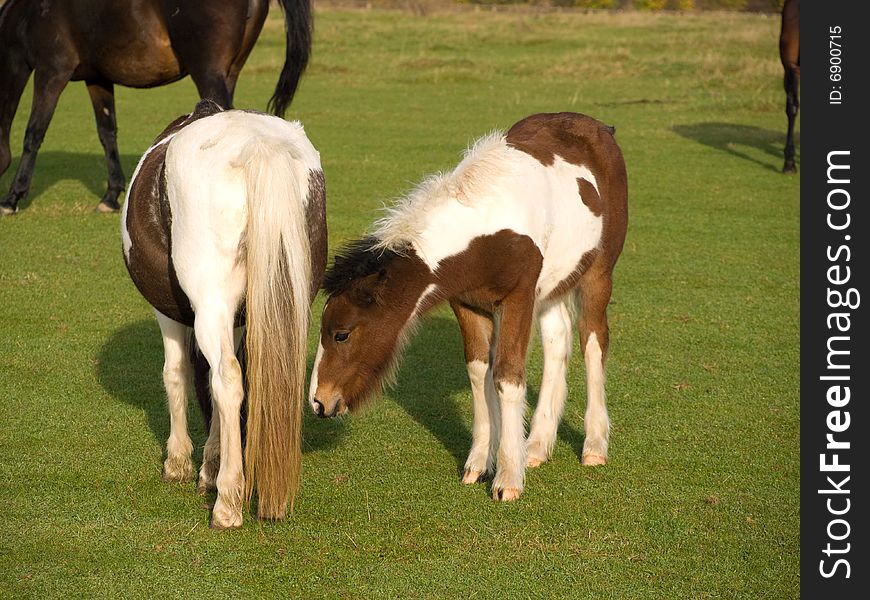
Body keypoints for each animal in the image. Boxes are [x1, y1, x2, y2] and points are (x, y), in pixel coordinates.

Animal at [0, 0, 314, 214]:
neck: (27, 14)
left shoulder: (51, 72)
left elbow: (34, 132)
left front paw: (13, 198)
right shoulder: (97, 79)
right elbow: (107, 133)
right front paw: (111, 195)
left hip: (208, 73)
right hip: (230, 72)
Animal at [120, 99, 328, 528]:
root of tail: (260, 147)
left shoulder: (171, 312)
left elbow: (177, 374)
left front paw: (180, 462)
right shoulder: (235, 320)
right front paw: (209, 467)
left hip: (209, 305)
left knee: (228, 379)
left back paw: (229, 502)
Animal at [312, 112, 628, 502]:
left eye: (341, 334)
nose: (319, 402)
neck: (484, 234)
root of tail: (601, 129)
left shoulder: (518, 298)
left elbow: (507, 376)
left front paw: (508, 478)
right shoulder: (467, 303)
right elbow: (480, 371)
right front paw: (479, 464)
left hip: (598, 272)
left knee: (593, 340)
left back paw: (594, 445)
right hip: (554, 283)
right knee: (558, 339)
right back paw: (537, 446)